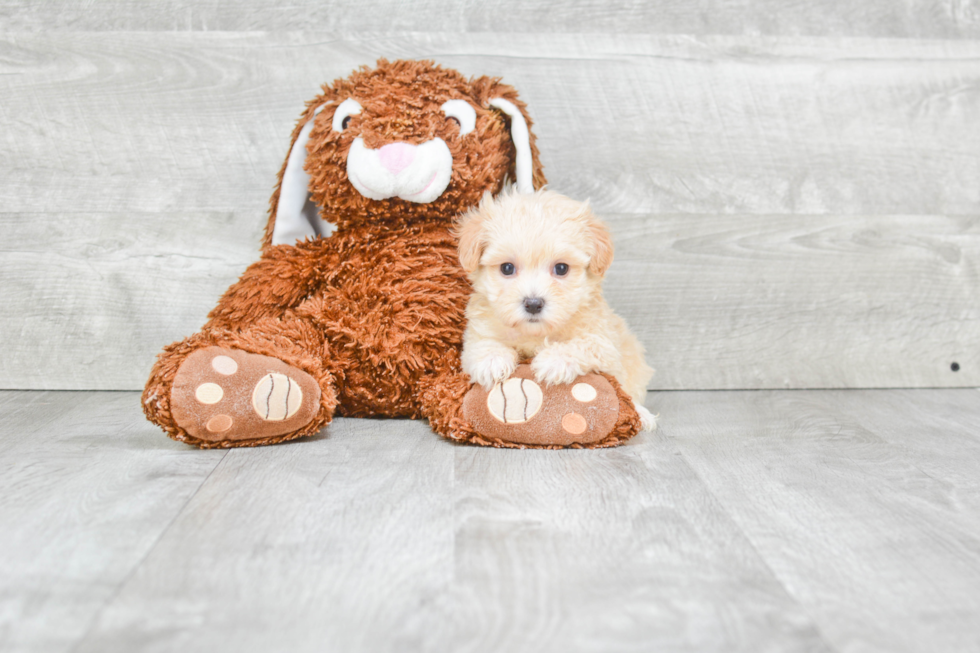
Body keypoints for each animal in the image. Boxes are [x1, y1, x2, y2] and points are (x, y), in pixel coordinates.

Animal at [454, 188, 656, 430]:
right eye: (507, 268)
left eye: (561, 268)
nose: (533, 304)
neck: (535, 334)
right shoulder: (477, 333)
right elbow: (481, 345)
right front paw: (492, 361)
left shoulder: (604, 344)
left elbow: (582, 346)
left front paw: (553, 361)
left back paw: (642, 414)